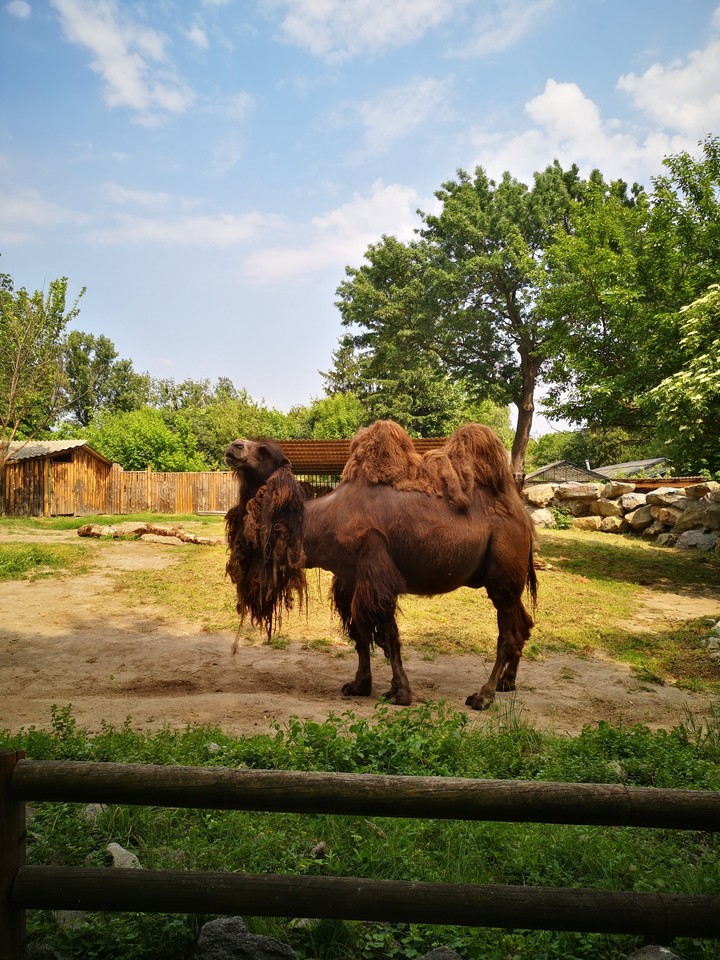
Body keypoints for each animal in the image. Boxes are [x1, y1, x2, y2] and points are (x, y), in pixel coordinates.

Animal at [224, 420, 537, 709]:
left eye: (264, 451)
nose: (233, 447)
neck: (321, 522)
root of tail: (522, 514)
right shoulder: (349, 579)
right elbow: (359, 633)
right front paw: (359, 684)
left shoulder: (376, 573)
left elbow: (387, 636)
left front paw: (401, 692)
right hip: (502, 577)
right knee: (522, 622)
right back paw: (508, 682)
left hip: (504, 569)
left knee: (506, 634)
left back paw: (483, 696)